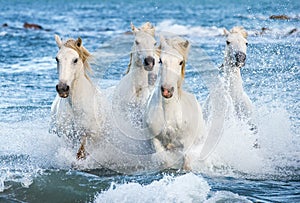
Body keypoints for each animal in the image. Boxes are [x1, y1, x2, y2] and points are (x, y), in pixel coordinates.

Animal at [145, 35, 206, 170]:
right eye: (160, 60)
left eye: (180, 62)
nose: (167, 90)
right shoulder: (156, 141)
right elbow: (164, 161)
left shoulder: (187, 144)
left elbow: (186, 163)